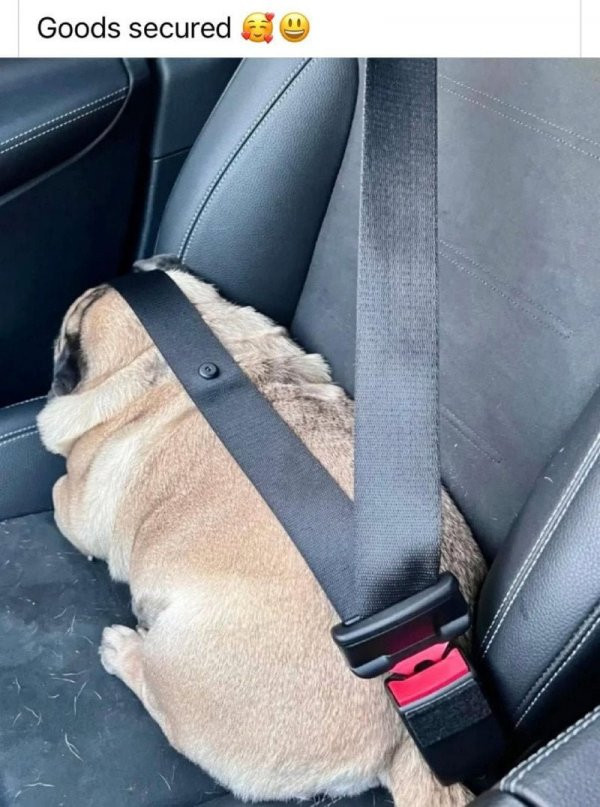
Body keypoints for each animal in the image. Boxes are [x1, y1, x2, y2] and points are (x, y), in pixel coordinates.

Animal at [38, 256, 486, 807]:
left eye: (62, 340)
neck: (178, 353)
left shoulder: (78, 509)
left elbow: (59, 492)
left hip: (186, 660)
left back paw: (124, 650)